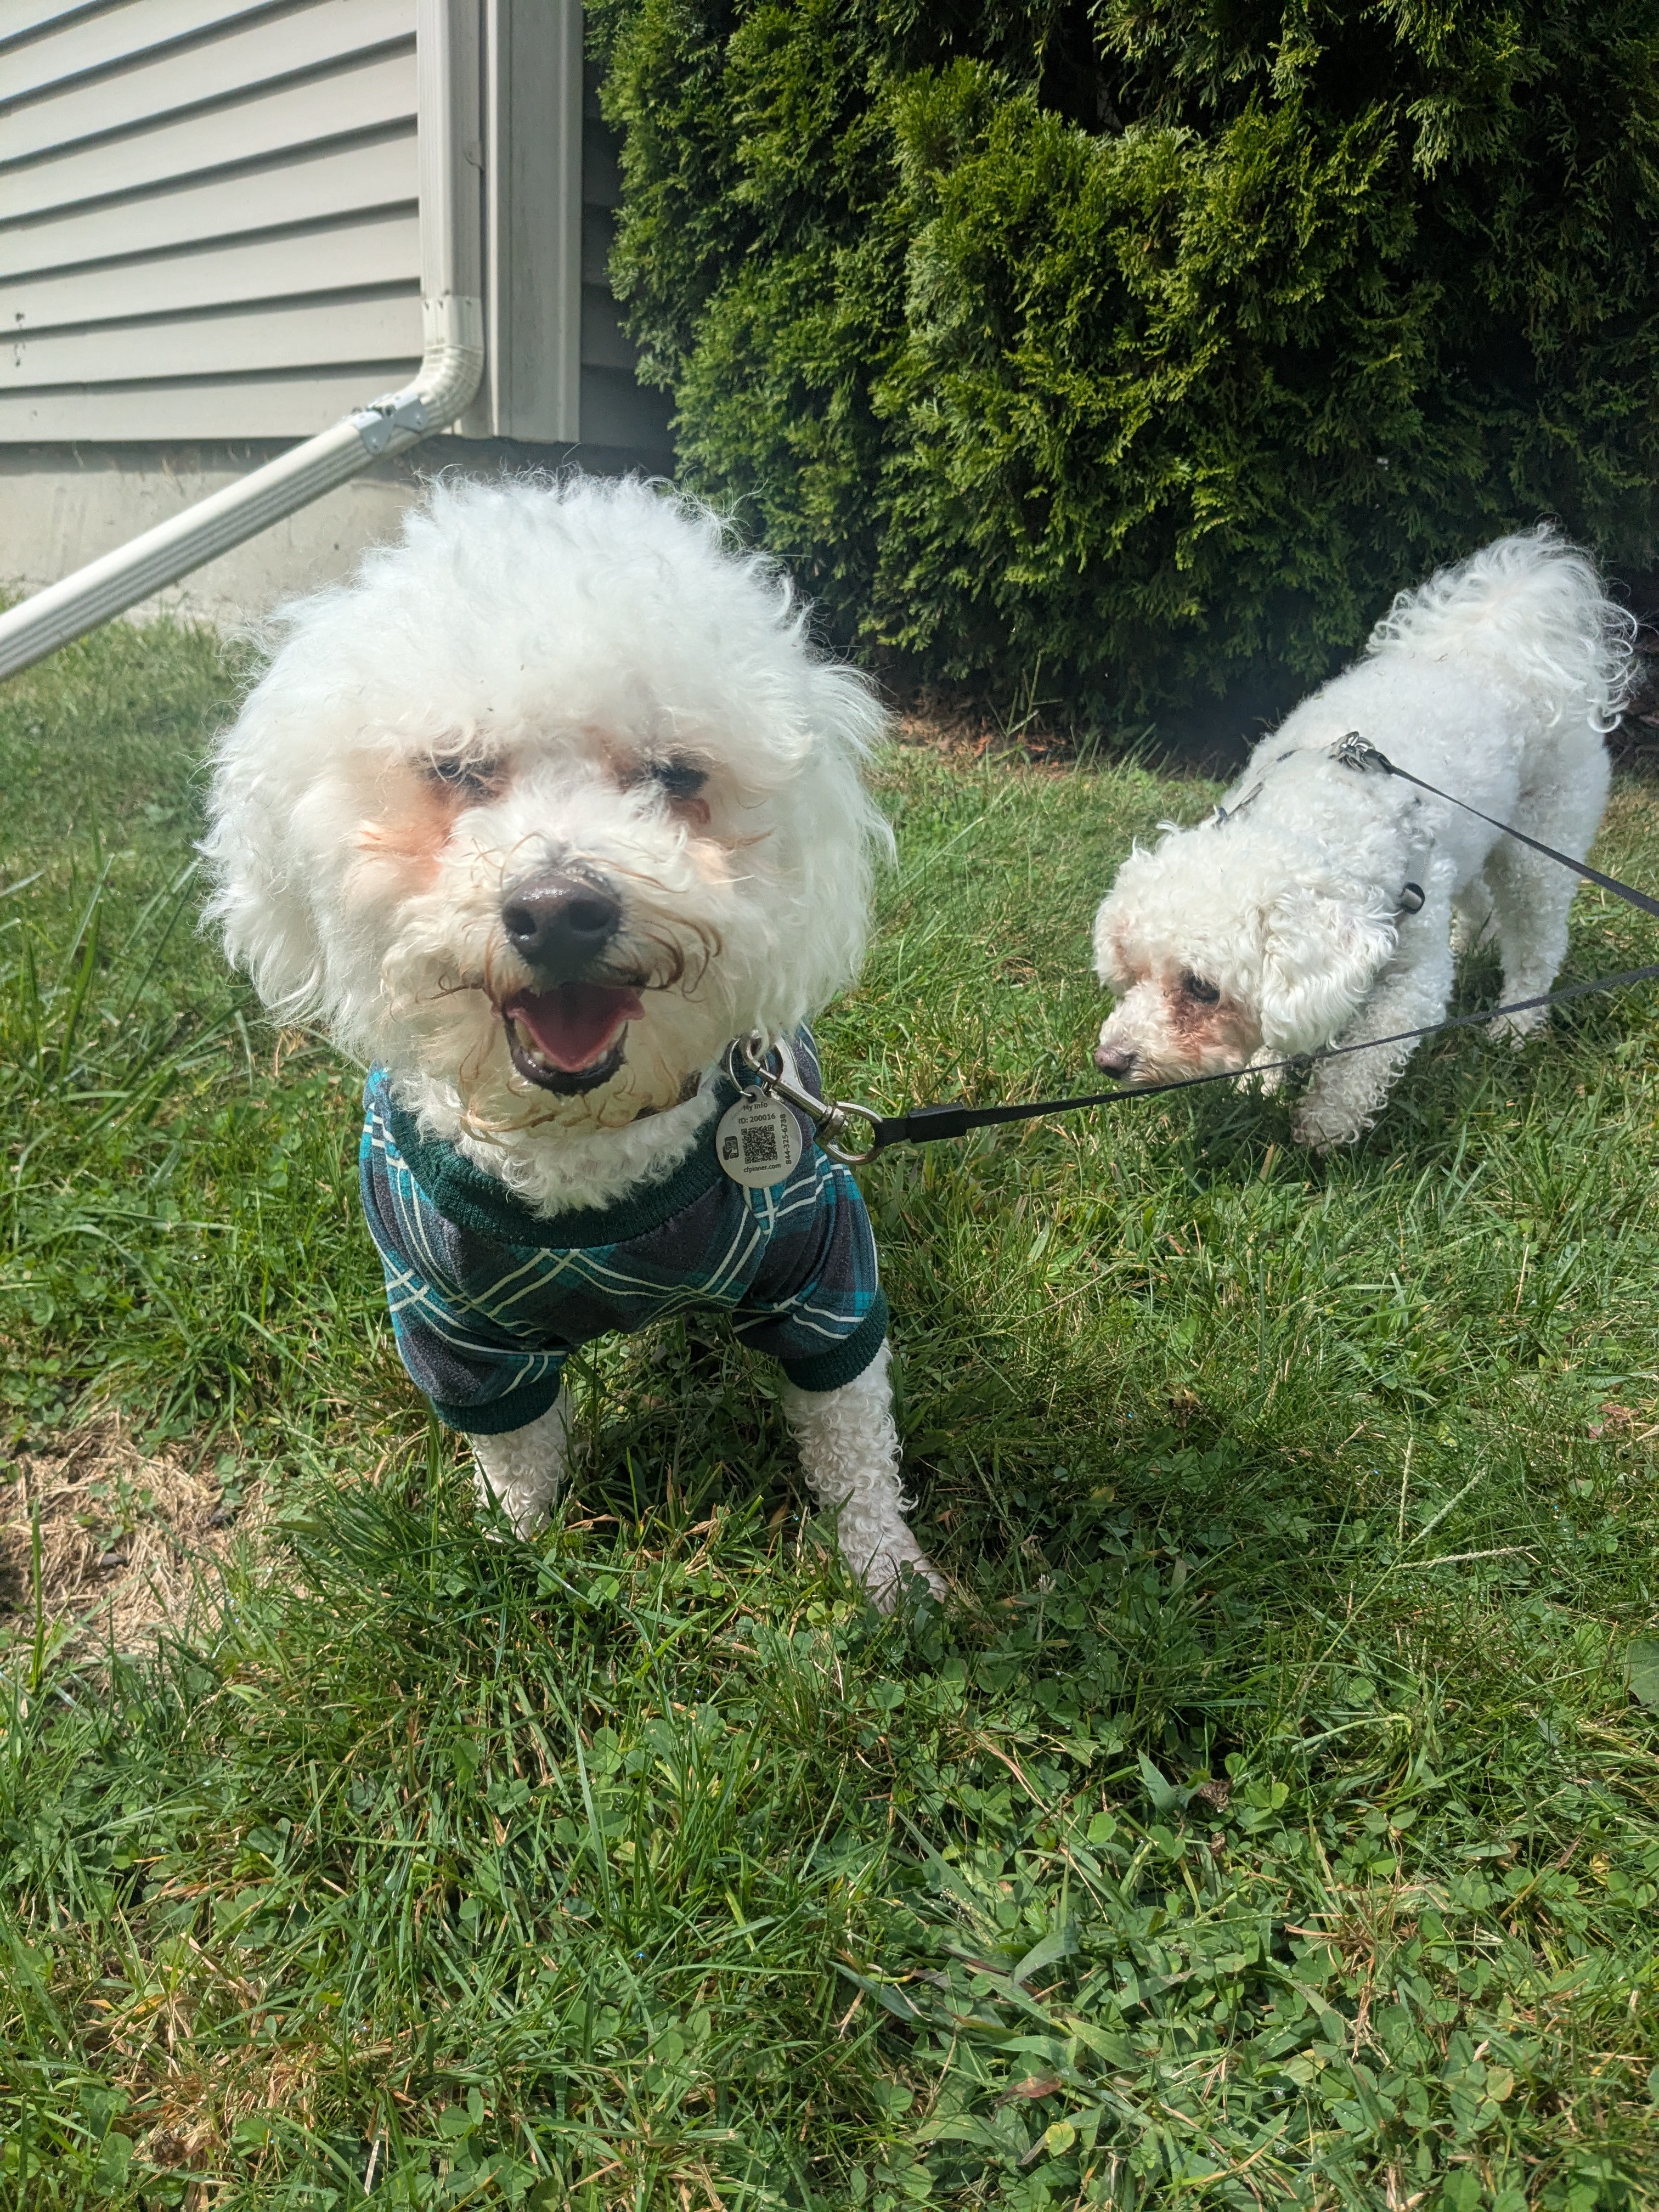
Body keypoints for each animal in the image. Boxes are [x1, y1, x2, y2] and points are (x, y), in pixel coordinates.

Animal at [203, 474, 941, 1606]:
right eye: (456, 767)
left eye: (674, 774)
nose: (558, 913)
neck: (582, 1158)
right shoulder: (444, 1319)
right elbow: (512, 1450)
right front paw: (509, 1553)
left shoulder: (822, 1265)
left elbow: (849, 1427)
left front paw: (887, 1572)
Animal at [1091, 528, 1632, 1149]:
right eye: (1133, 973)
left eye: (1202, 988)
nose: (1109, 1062)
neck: (1320, 813)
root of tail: (1508, 630)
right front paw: (1261, 1081)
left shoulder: (1414, 978)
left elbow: (1360, 1060)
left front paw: (1325, 1126)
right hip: (1474, 847)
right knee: (1479, 902)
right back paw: (1474, 942)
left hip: (1540, 849)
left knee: (1538, 946)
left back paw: (1515, 1026)